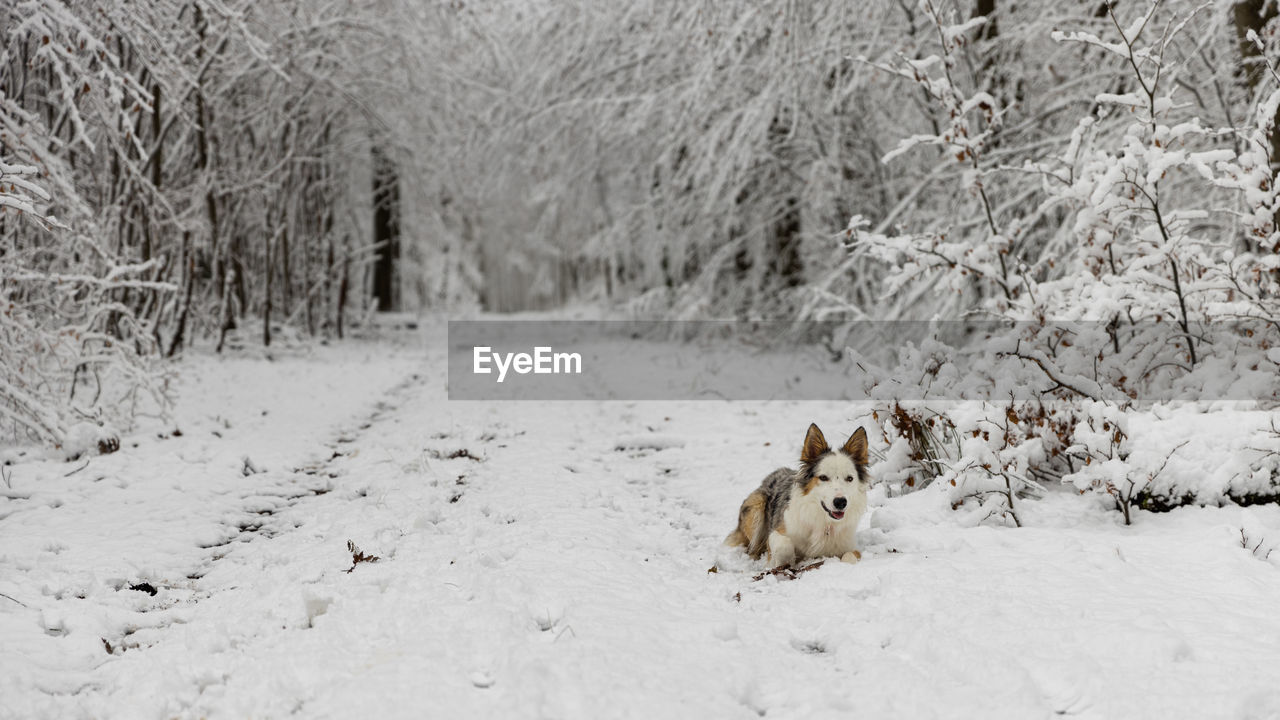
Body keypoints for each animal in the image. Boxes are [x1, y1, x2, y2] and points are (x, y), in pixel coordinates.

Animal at [732, 420, 870, 566]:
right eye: (823, 477)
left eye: (849, 478)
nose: (840, 502)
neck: (825, 523)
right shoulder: (777, 531)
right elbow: (784, 545)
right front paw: (783, 563)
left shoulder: (850, 547)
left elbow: (850, 557)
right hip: (756, 506)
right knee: (752, 546)